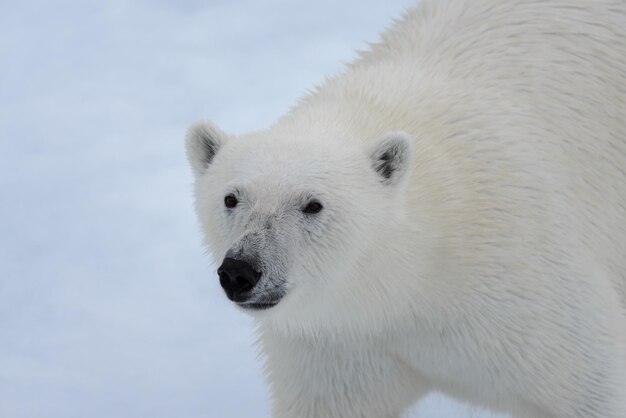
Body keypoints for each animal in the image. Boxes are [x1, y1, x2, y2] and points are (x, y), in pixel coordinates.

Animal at [185, 0, 624, 418]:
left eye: (312, 204)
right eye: (231, 198)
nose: (240, 271)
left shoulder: (522, 284)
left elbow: (589, 381)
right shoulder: (336, 344)